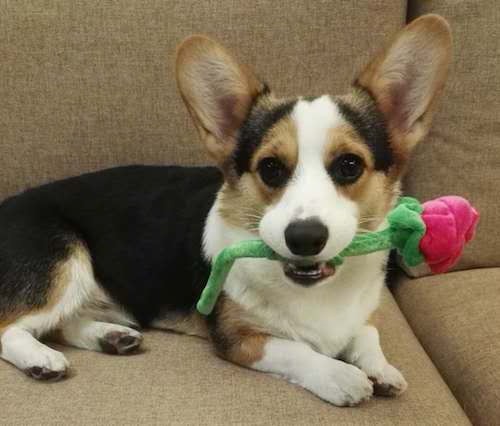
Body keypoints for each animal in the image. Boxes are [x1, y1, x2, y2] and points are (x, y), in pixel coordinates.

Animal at [0, 14, 454, 406]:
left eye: (349, 165)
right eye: (270, 168)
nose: (304, 237)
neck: (318, 292)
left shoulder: (358, 317)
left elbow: (367, 334)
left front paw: (382, 369)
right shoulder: (239, 338)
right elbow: (295, 349)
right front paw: (341, 376)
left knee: (61, 323)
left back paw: (110, 337)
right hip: (66, 261)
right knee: (12, 325)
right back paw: (41, 359)